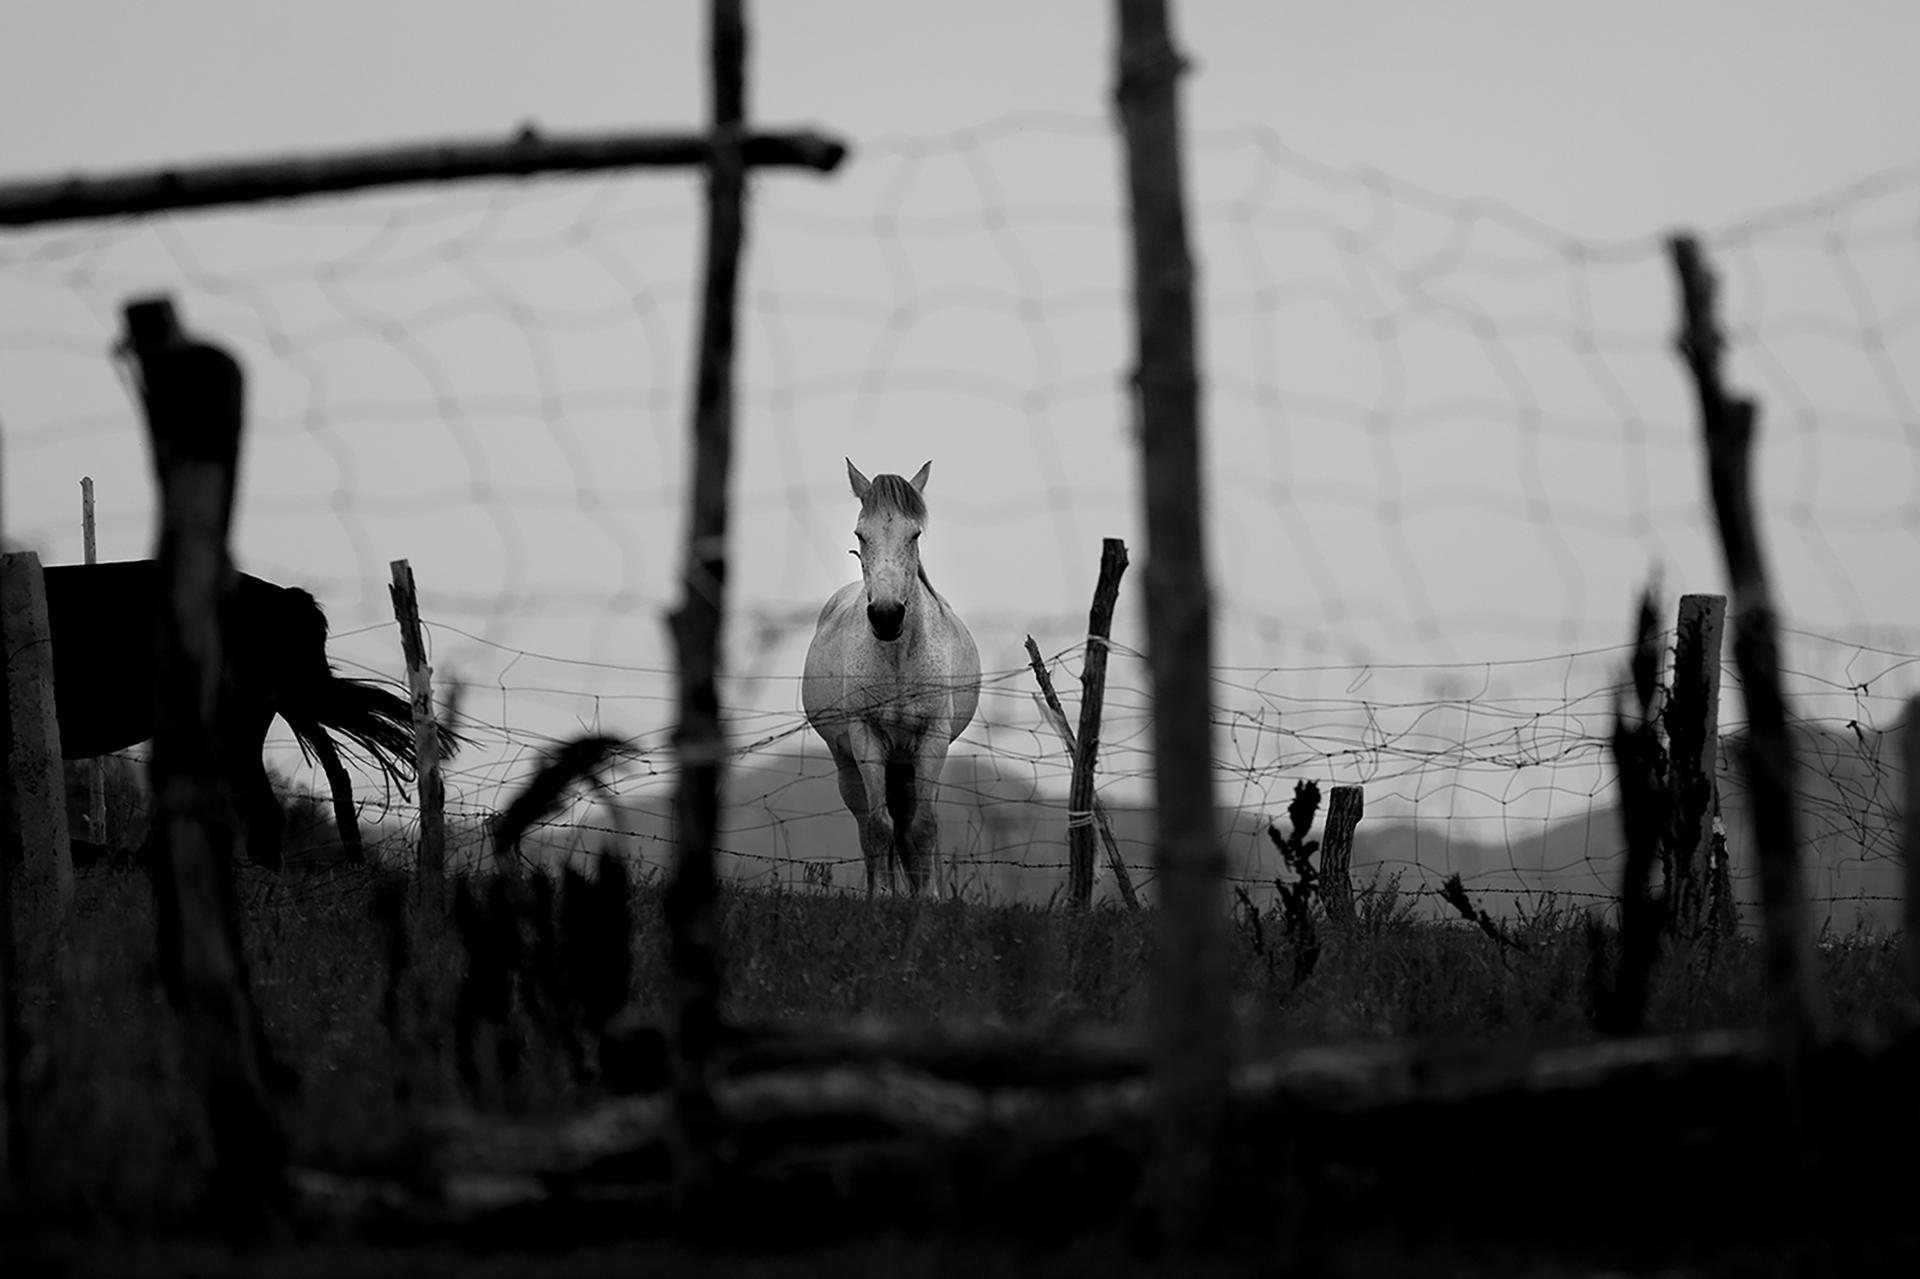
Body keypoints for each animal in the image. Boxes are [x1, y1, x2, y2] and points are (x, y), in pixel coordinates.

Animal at [802, 460, 981, 897]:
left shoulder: (932, 739)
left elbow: (923, 825)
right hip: (849, 762)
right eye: (859, 535)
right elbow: (879, 827)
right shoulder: (867, 737)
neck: (899, 658)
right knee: (868, 823)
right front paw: (883, 897)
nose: (886, 616)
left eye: (913, 533)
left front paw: (928, 897)